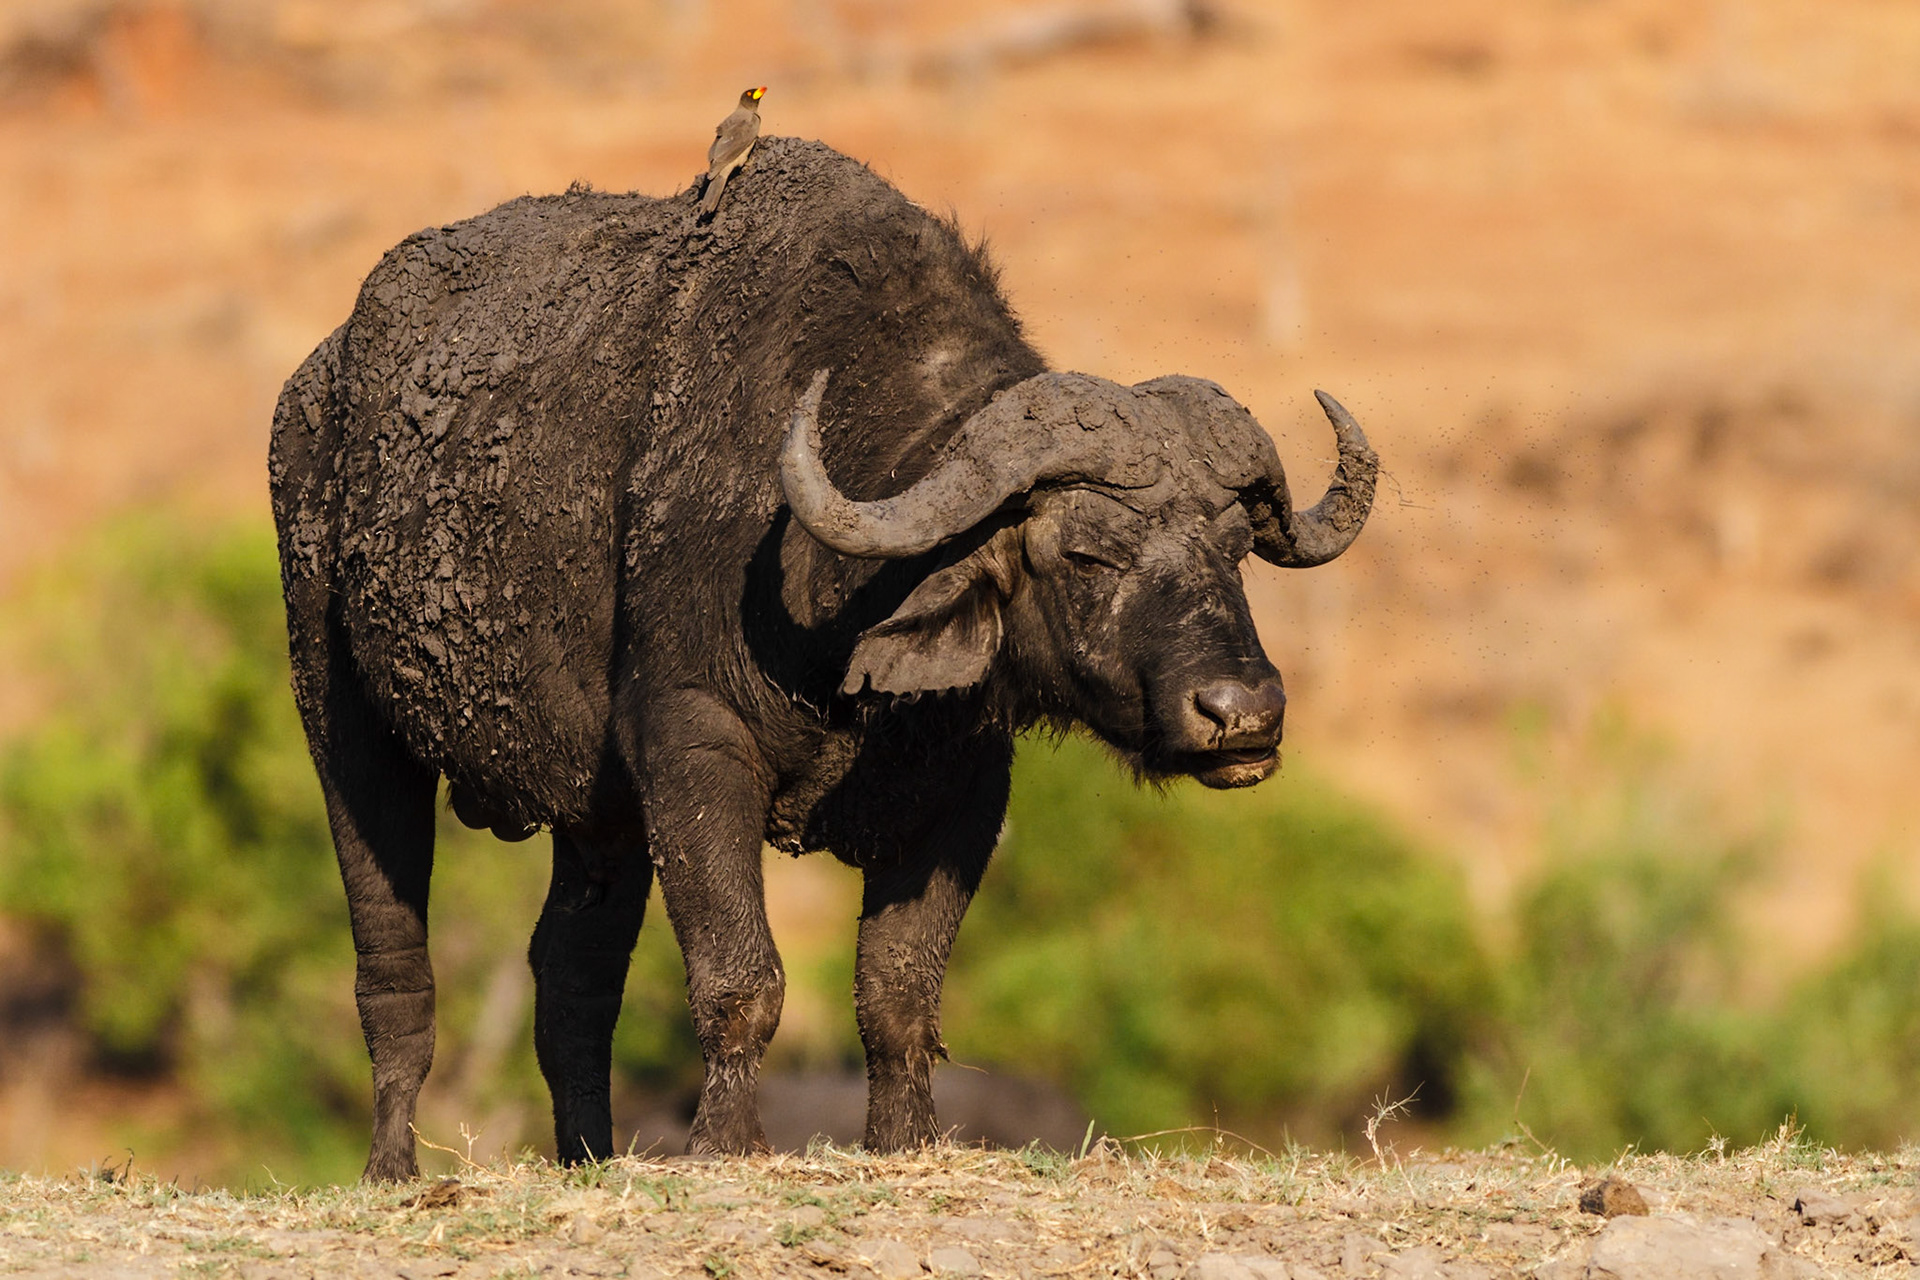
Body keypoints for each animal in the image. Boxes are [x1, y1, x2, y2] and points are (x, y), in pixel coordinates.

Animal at [269, 137, 1376, 1181]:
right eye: (1085, 550)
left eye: (1233, 546)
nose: (1243, 711)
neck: (838, 611)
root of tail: (319, 382)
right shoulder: (692, 746)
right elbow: (740, 975)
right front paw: (727, 1143)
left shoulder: (965, 789)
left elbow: (898, 994)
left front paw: (905, 1140)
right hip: (340, 722)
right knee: (392, 964)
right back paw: (391, 1163)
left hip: (596, 814)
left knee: (570, 977)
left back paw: (588, 1155)